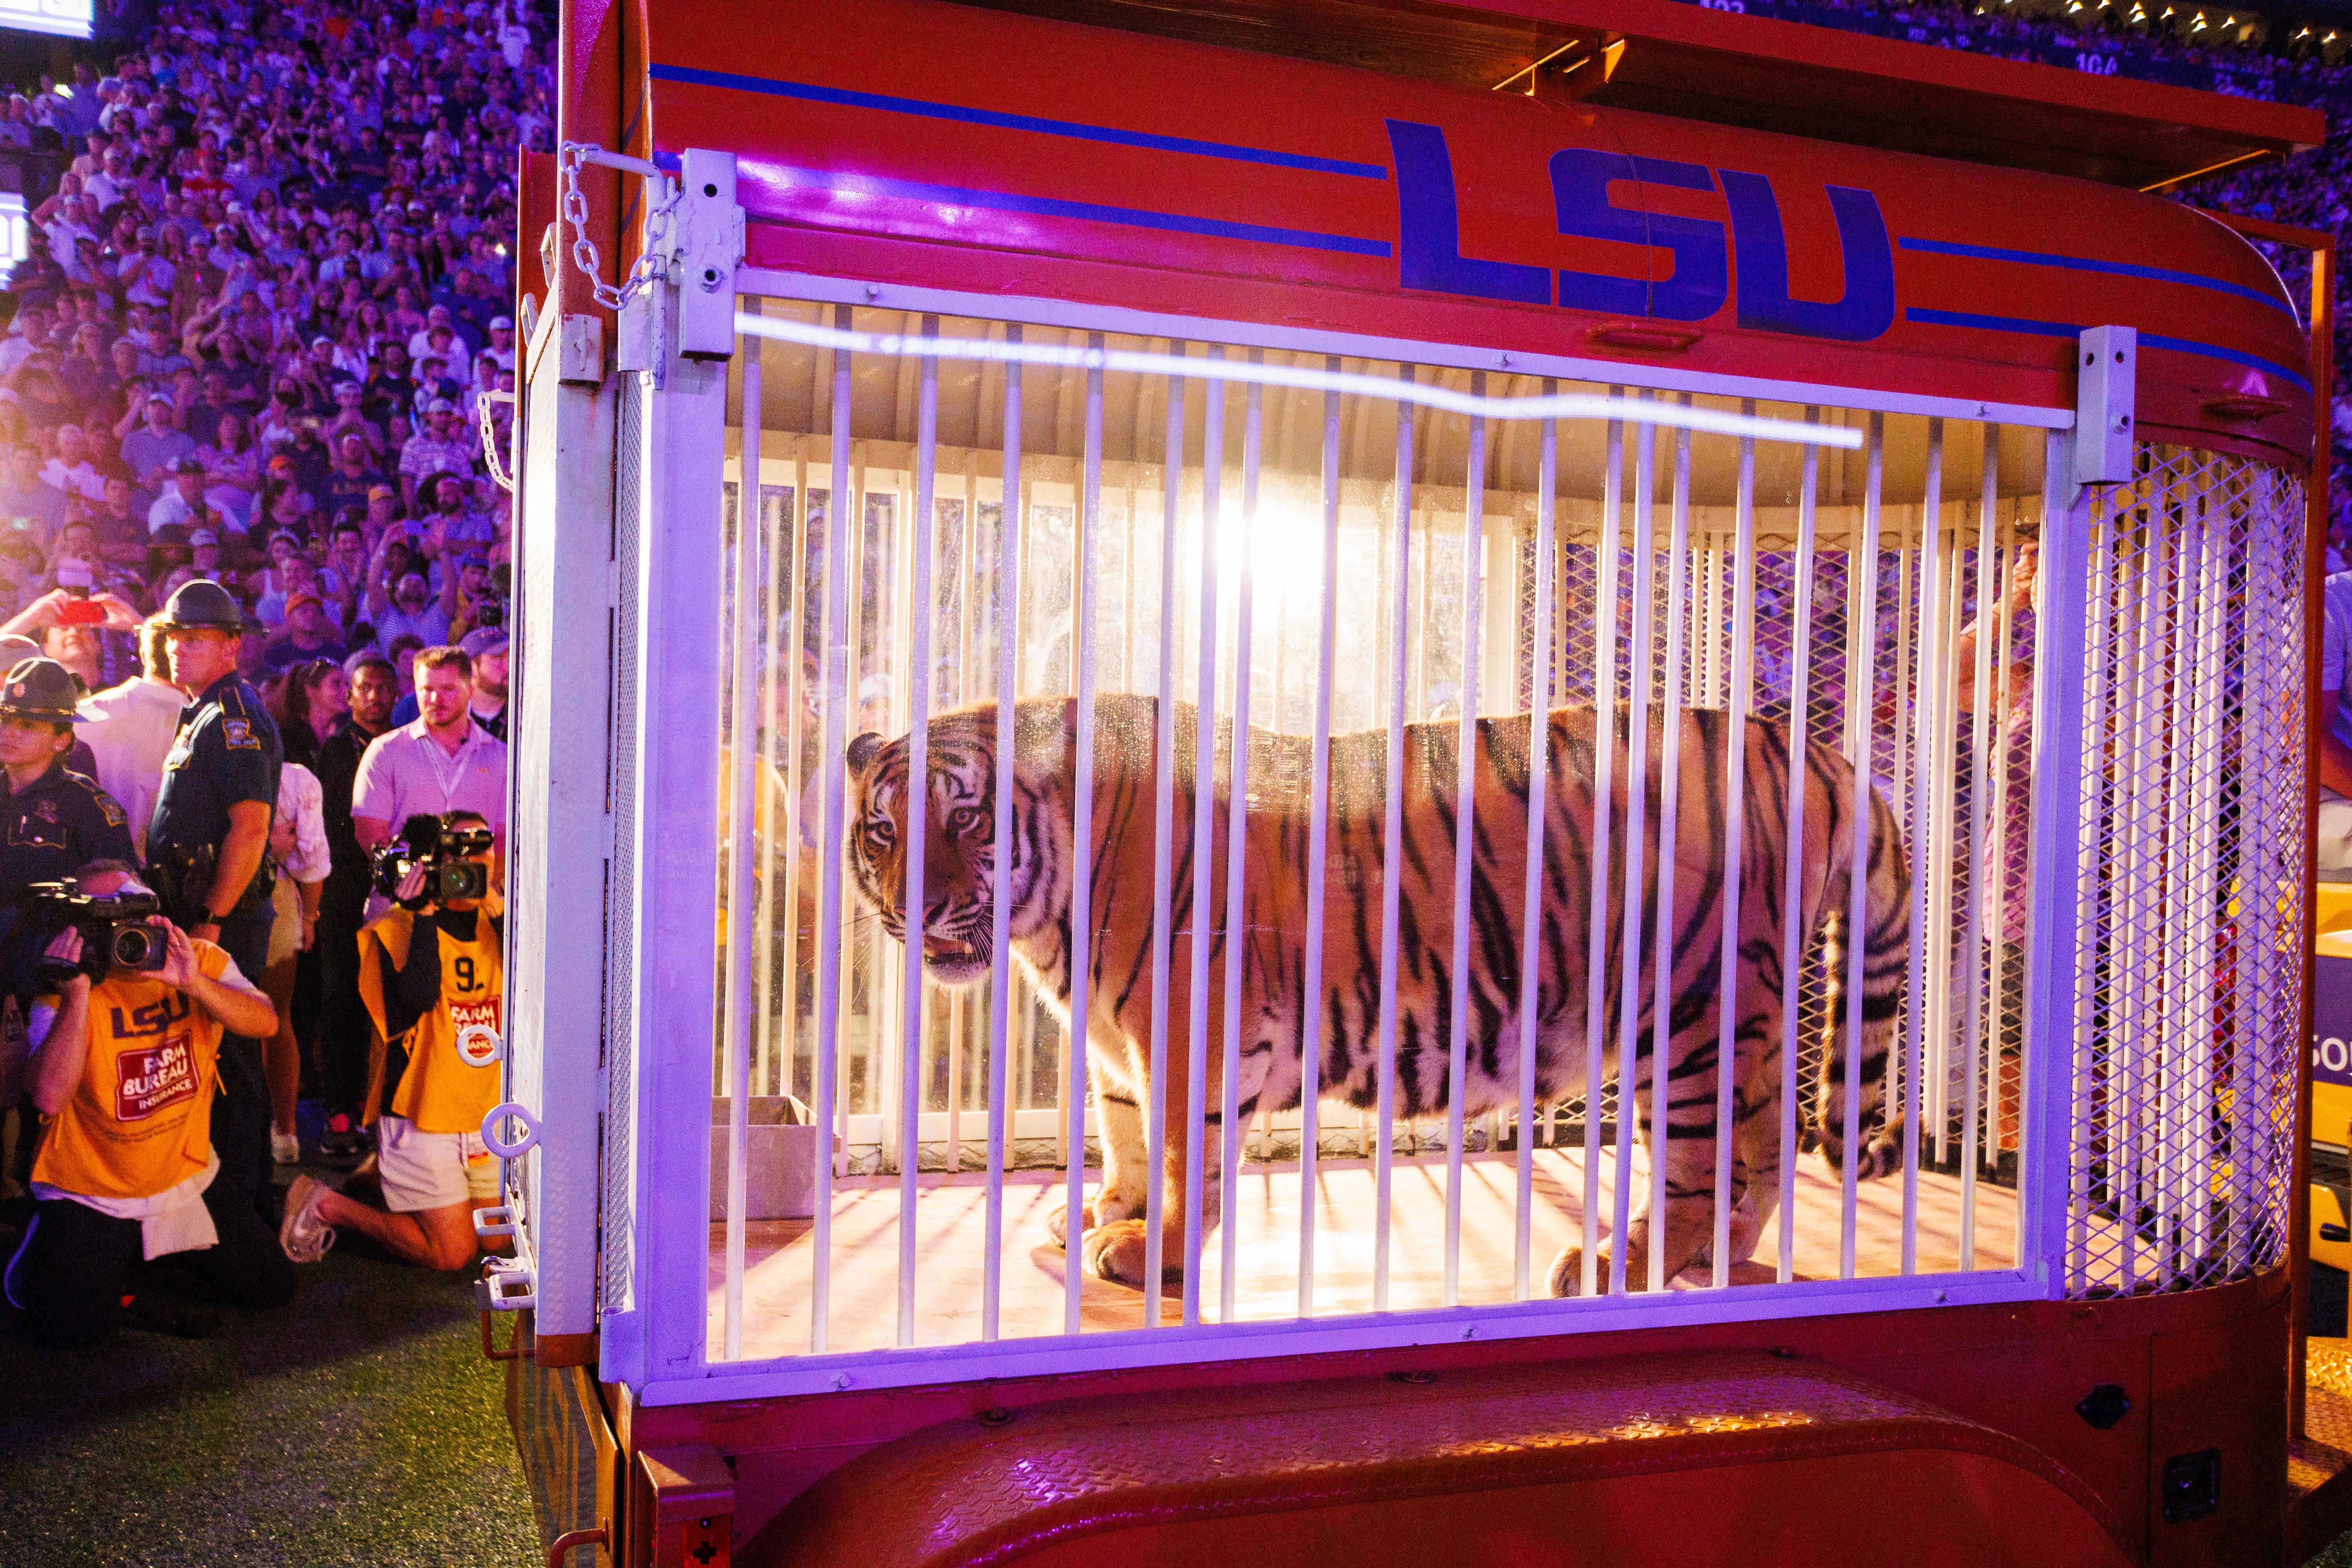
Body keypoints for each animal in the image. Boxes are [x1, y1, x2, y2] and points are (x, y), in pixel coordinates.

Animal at [847, 701, 1910, 1298]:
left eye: (967, 818)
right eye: (882, 830)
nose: (915, 907)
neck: (1045, 918)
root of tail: (1815, 752)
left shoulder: (1186, 1026)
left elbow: (1185, 1151)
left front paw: (1154, 1250)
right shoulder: (1114, 1040)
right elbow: (1123, 1128)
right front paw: (1106, 1211)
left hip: (1687, 1009)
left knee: (1711, 1159)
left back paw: (1617, 1264)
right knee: (1761, 1144)